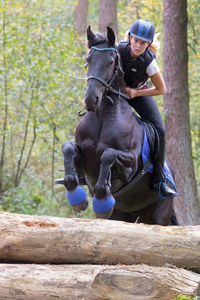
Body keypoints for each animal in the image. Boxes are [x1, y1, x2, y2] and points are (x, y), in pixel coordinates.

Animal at [58, 25, 176, 225]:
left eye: (111, 61)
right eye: (88, 59)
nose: (91, 100)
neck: (103, 117)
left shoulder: (130, 166)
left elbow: (108, 154)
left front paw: (101, 201)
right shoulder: (83, 160)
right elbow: (67, 148)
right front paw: (77, 199)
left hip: (160, 214)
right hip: (123, 215)